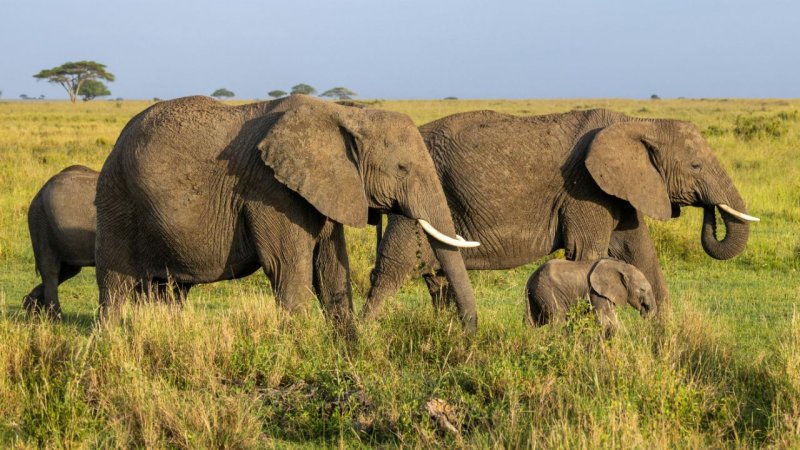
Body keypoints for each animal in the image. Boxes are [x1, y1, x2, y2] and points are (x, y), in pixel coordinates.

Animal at [94, 94, 480, 331]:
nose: (466, 333)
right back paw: (109, 343)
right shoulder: (271, 190)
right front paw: (300, 351)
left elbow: (331, 269)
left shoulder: (325, 188)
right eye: (402, 169)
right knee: (114, 285)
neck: (345, 113)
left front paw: (348, 353)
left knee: (170, 291)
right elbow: (288, 268)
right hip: (117, 200)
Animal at [361, 108, 758, 319]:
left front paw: (666, 345)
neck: (636, 123)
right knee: (392, 269)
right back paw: (366, 339)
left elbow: (639, 251)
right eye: (695, 166)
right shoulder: (584, 189)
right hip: (411, 197)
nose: (710, 214)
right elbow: (588, 256)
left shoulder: (619, 192)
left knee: (438, 278)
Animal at [525, 258, 655, 336]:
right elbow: (605, 317)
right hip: (548, 292)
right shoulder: (596, 292)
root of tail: (530, 281)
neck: (620, 266)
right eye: (642, 290)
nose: (645, 313)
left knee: (532, 322)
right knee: (558, 319)